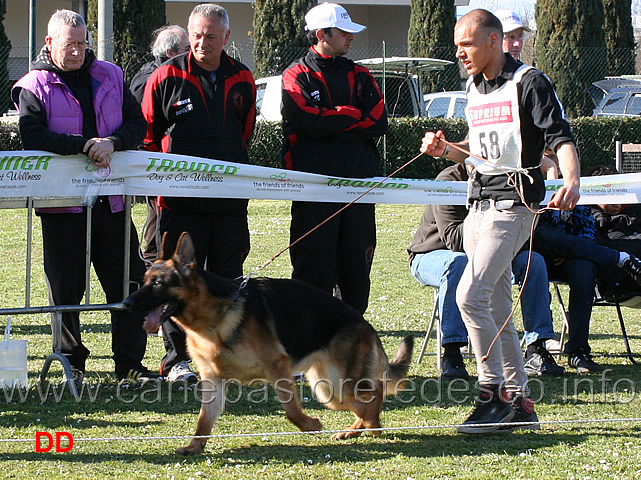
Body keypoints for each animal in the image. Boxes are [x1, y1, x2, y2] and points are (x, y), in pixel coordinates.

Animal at [124, 234, 416, 456]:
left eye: (157, 283)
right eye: (145, 280)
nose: (125, 304)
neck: (213, 317)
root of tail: (365, 323)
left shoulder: (278, 367)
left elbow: (291, 410)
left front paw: (310, 425)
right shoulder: (213, 381)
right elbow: (204, 419)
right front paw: (195, 447)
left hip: (337, 386)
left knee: (375, 393)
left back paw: (371, 425)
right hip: (327, 389)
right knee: (367, 399)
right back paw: (355, 429)